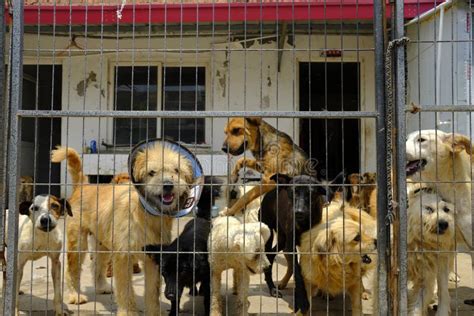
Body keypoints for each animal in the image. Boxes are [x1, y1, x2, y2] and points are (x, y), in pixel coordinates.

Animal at [51, 146, 193, 316]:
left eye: (176, 170)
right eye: (152, 172)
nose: (168, 185)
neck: (145, 214)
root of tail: (83, 186)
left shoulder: (152, 259)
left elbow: (153, 290)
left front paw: (154, 311)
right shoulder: (123, 256)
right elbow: (125, 289)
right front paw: (128, 312)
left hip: (102, 245)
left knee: (97, 266)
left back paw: (101, 286)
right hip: (78, 244)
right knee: (72, 270)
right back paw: (75, 295)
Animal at [143, 177, 221, 314]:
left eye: (182, 271)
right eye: (164, 272)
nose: (170, 295)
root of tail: (200, 218)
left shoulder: (207, 277)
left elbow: (207, 299)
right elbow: (176, 300)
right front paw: (173, 312)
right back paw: (193, 290)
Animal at [260, 173, 334, 314]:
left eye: (311, 193)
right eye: (292, 192)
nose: (298, 212)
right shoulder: (291, 246)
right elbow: (298, 272)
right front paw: (302, 302)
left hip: (282, 240)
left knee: (271, 255)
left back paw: (272, 286)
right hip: (270, 232)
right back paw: (272, 289)